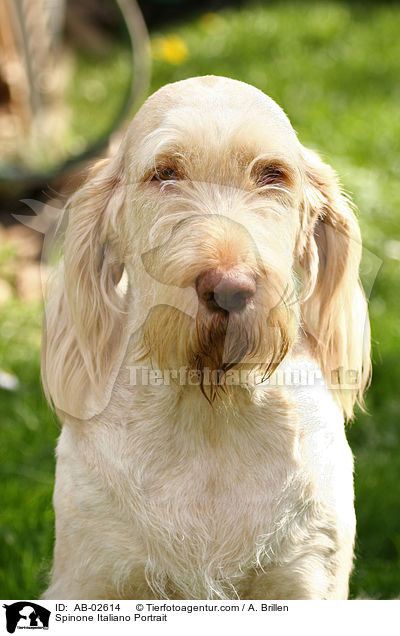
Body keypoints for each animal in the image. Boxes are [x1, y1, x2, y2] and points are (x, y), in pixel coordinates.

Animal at [42, 77, 370, 600]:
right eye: (164, 173)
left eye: (273, 174)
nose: (230, 289)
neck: (210, 411)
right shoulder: (93, 577)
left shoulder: (305, 576)